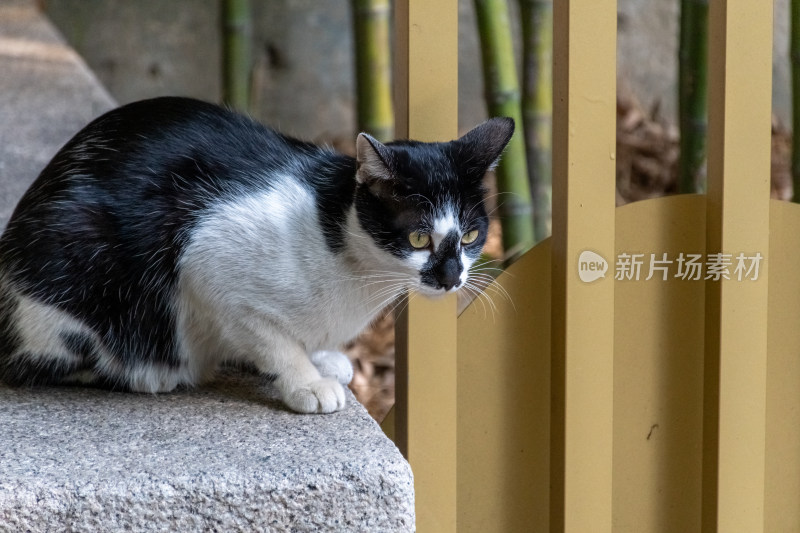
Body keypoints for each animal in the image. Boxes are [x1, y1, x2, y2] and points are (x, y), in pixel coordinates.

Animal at [0, 97, 512, 414]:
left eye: (470, 235)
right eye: (419, 238)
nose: (451, 277)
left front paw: (321, 358)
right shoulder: (208, 262)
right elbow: (273, 339)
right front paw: (306, 381)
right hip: (78, 255)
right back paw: (148, 373)